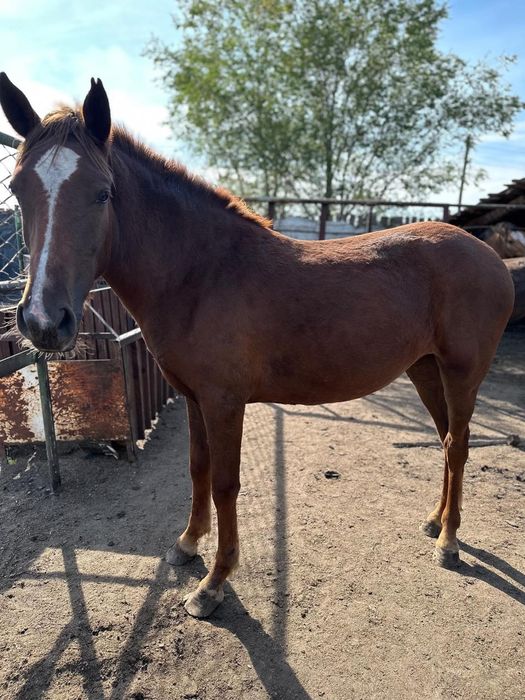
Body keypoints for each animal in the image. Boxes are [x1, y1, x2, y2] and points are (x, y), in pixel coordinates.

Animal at [0, 74, 515, 618]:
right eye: (16, 189)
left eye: (102, 194)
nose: (42, 321)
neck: (202, 274)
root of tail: (490, 257)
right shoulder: (194, 397)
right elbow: (198, 469)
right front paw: (188, 544)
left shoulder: (225, 402)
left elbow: (226, 484)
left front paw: (213, 584)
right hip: (425, 369)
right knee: (445, 440)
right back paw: (436, 522)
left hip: (462, 373)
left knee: (458, 445)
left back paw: (450, 543)